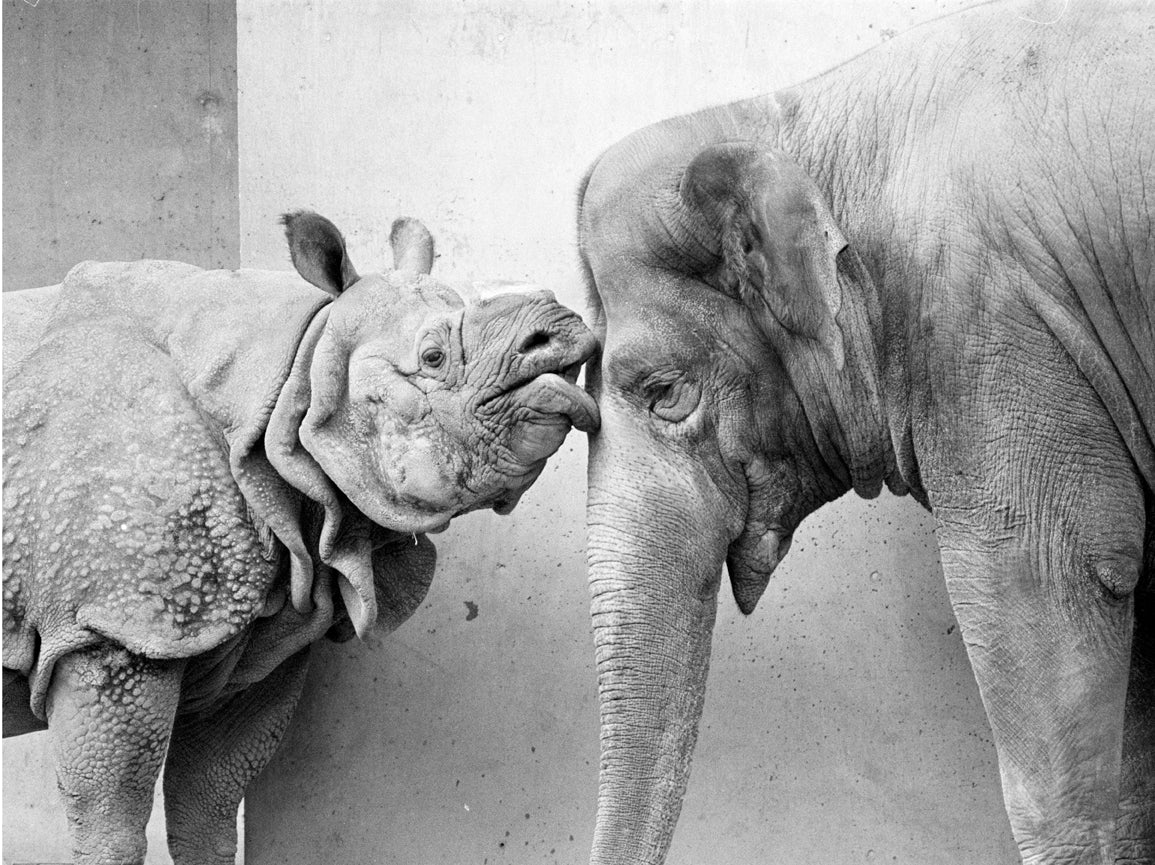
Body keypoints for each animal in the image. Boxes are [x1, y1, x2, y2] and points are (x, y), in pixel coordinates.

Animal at [0, 211, 595, 863]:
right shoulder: (111, 628)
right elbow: (110, 818)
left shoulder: (260, 646)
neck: (293, 378)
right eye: (433, 357)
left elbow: (209, 807)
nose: (562, 328)